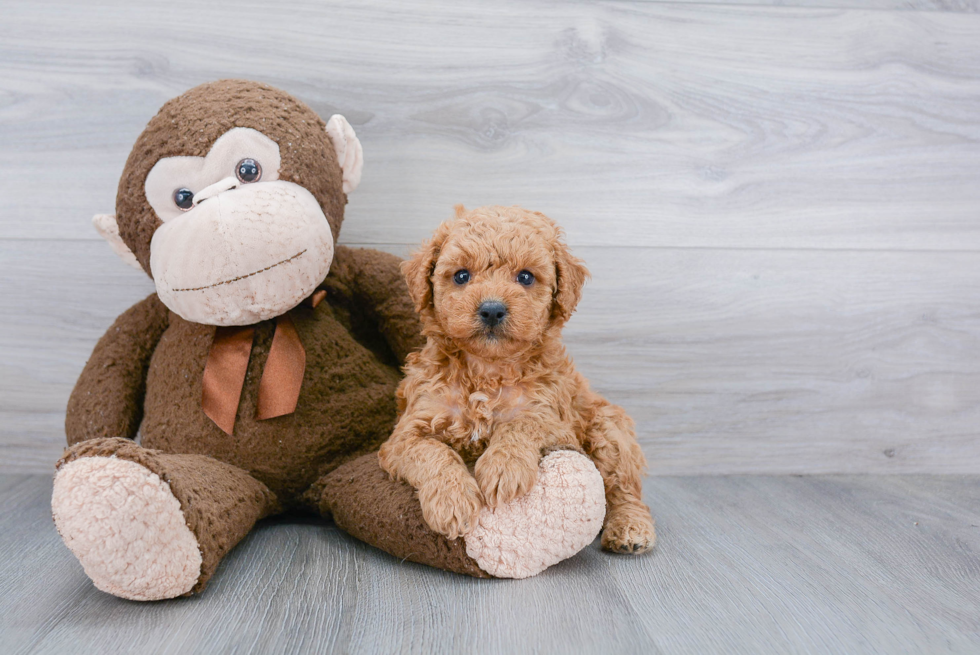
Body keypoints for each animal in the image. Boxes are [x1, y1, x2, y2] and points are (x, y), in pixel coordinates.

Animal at [378, 204, 656, 552]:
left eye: (525, 276)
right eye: (461, 276)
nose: (492, 310)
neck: (487, 370)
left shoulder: (555, 421)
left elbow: (521, 423)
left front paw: (503, 469)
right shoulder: (406, 433)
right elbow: (433, 452)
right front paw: (452, 502)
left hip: (608, 428)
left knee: (625, 489)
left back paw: (630, 528)